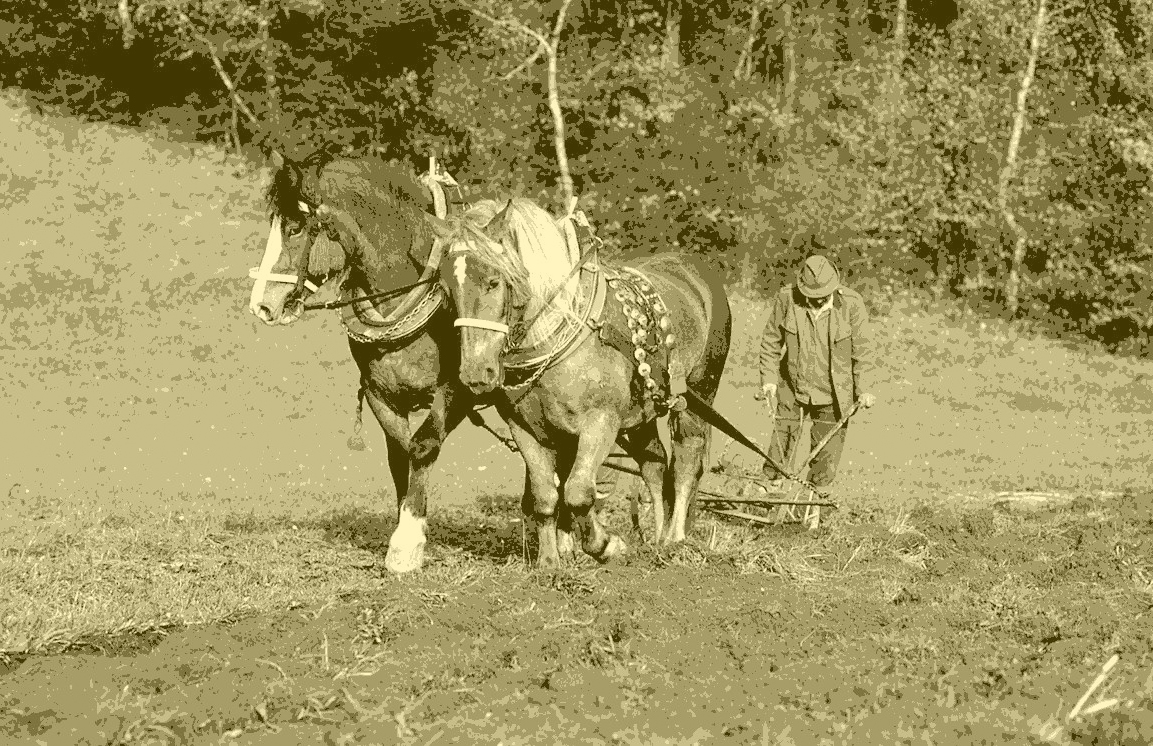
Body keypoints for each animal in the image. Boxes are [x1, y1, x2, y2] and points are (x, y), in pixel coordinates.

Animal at [247, 149, 480, 573]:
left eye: (295, 228)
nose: (261, 305)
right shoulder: (380, 393)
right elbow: (400, 456)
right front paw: (409, 524)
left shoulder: (457, 389)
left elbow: (423, 447)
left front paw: (406, 544)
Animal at [429, 198, 732, 568]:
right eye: (447, 289)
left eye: (493, 282)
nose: (475, 373)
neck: (558, 332)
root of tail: (698, 272)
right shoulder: (524, 427)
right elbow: (546, 494)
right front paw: (550, 562)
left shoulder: (600, 422)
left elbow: (577, 492)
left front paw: (608, 545)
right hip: (640, 413)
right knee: (654, 463)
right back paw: (657, 539)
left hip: (698, 393)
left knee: (687, 458)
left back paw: (675, 539)